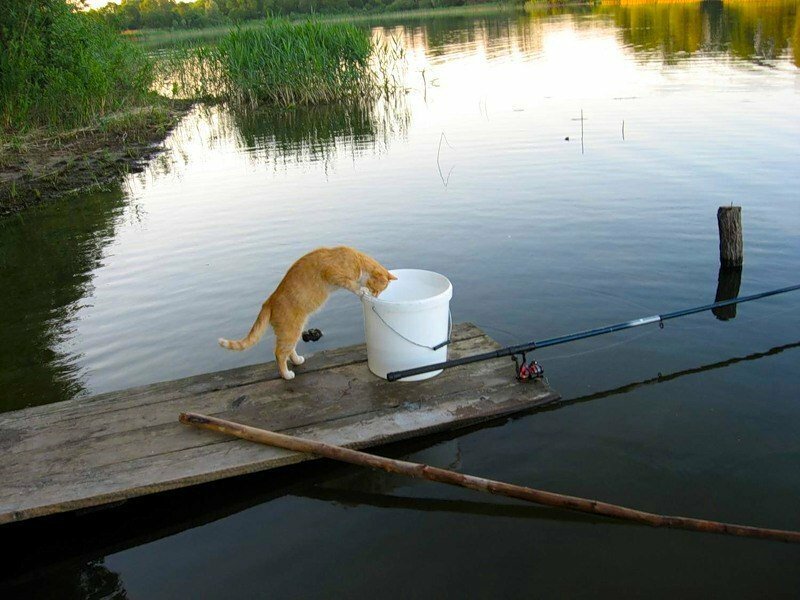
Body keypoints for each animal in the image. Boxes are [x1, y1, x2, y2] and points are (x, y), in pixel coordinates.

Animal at [219, 245, 396, 380]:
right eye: (377, 291)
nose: (376, 297)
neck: (358, 260)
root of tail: (269, 301)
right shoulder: (334, 274)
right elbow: (353, 285)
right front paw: (362, 291)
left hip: (294, 331)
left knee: (288, 350)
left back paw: (297, 360)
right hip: (291, 331)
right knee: (279, 354)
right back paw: (286, 374)